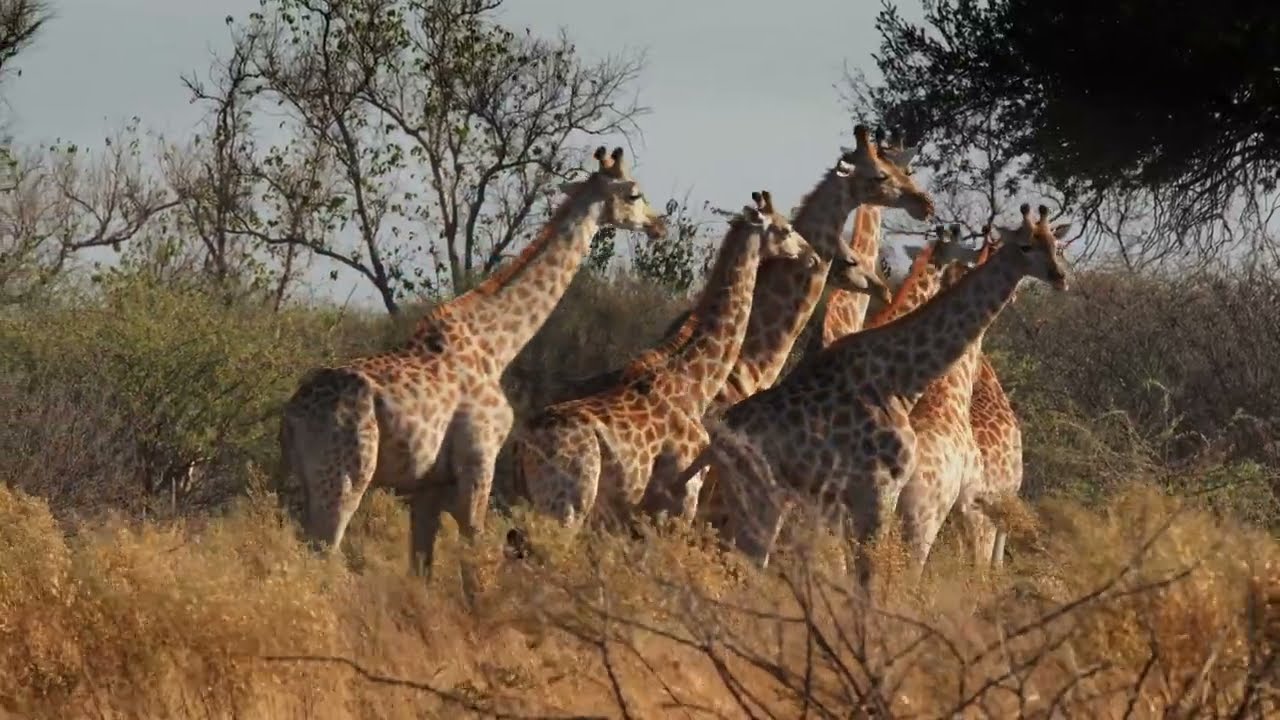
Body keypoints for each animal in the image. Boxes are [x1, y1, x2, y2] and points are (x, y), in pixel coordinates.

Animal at [276, 146, 667, 583]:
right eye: (634, 193)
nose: (659, 225)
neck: (495, 347)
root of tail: (292, 415)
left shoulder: (429, 486)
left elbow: (423, 566)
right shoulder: (479, 461)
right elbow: (474, 555)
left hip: (302, 483)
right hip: (345, 477)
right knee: (325, 550)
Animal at [512, 191, 816, 532]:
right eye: (785, 230)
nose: (811, 255)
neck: (696, 384)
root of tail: (526, 443)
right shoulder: (682, 497)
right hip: (569, 504)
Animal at [677, 204, 1071, 584]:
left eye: (1056, 244)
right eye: (1026, 246)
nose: (1060, 277)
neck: (902, 379)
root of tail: (714, 442)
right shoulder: (882, 492)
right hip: (767, 499)